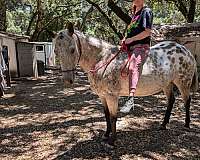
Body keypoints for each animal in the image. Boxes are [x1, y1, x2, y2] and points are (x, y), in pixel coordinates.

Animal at [52, 24, 198, 148]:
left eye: (72, 50)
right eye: (55, 51)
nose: (67, 80)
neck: (103, 59)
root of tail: (185, 51)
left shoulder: (112, 96)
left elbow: (113, 117)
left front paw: (112, 140)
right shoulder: (102, 96)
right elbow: (106, 115)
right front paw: (106, 135)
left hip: (183, 83)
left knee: (187, 101)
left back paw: (186, 124)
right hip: (167, 84)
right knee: (171, 100)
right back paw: (163, 124)